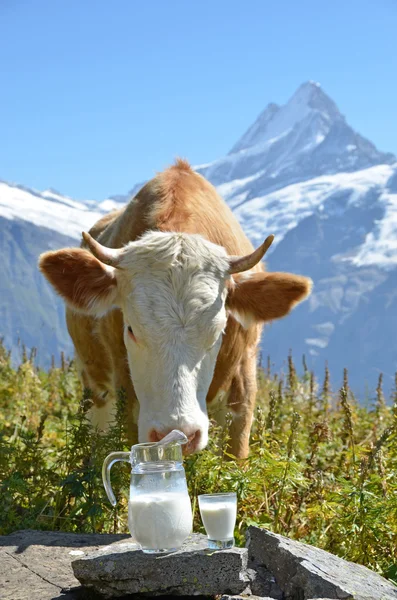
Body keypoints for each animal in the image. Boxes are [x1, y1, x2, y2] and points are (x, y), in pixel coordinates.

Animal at [40, 157, 312, 458]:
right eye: (131, 329)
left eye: (218, 334)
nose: (178, 432)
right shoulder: (125, 393)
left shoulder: (244, 379)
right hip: (94, 385)